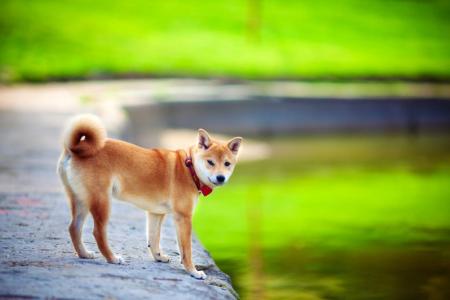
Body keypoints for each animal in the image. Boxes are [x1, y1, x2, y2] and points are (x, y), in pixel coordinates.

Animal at [56, 114, 243, 278]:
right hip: (101, 201)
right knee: (97, 232)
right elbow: (186, 250)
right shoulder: (183, 217)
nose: (221, 177)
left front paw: (159, 257)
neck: (189, 168)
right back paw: (112, 258)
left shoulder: (155, 213)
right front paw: (193, 271)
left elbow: (153, 239)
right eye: (210, 162)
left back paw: (84, 254)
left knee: (74, 228)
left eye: (227, 164)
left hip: (81, 200)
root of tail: (74, 149)